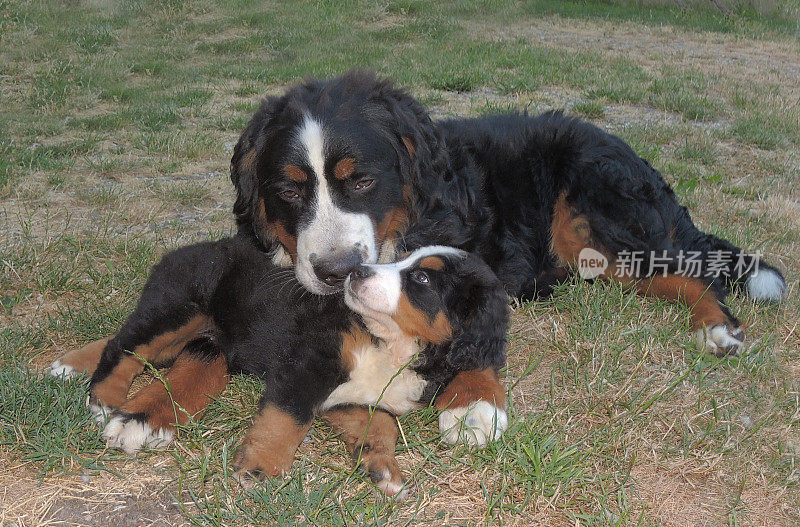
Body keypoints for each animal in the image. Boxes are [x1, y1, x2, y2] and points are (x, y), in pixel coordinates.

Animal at [73, 239, 506, 500]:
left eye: (421, 277)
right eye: (401, 261)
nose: (355, 271)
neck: (391, 345)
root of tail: (188, 249)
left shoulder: (351, 396)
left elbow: (380, 424)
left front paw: (382, 467)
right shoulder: (308, 364)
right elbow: (288, 418)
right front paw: (260, 467)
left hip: (205, 341)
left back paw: (144, 418)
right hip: (179, 308)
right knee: (123, 346)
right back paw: (106, 401)